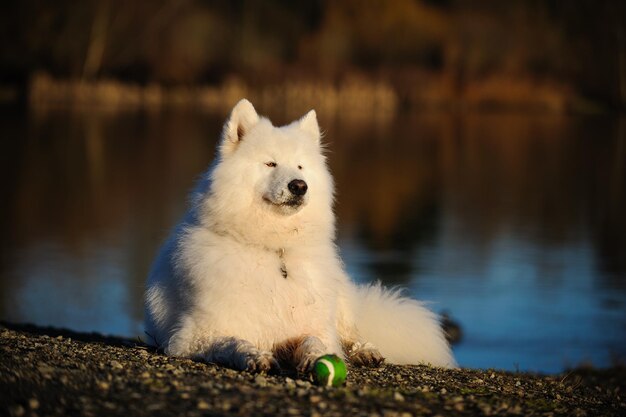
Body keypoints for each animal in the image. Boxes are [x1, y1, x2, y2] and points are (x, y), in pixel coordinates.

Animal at [144, 100, 454, 370]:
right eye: (270, 164)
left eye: (301, 166)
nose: (299, 185)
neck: (274, 247)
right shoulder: (194, 336)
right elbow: (232, 342)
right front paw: (256, 356)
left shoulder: (312, 326)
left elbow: (315, 340)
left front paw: (317, 357)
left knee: (350, 333)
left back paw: (365, 351)